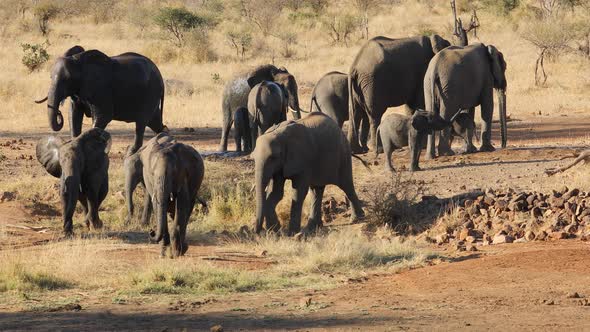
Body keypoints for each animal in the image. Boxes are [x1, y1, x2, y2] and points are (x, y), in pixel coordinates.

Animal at [35, 47, 166, 156]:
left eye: (67, 79)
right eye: (50, 77)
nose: (58, 113)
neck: (78, 62)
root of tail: (160, 75)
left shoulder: (101, 89)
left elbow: (103, 116)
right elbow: (73, 115)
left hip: (151, 92)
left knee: (141, 123)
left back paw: (131, 153)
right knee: (154, 122)